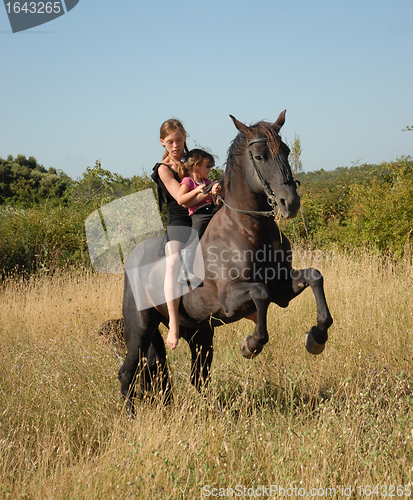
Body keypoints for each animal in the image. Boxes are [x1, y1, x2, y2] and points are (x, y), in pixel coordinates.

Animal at [118, 111, 332, 412]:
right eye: (259, 157)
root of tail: (132, 261)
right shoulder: (231, 298)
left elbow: (314, 276)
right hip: (140, 329)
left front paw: (317, 337)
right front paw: (251, 345)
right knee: (128, 372)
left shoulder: (282, 289)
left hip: (199, 334)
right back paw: (131, 415)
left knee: (195, 376)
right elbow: (260, 293)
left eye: (287, 151)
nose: (290, 203)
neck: (249, 228)